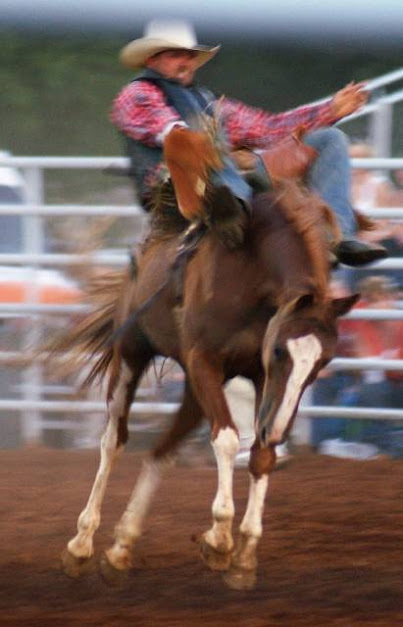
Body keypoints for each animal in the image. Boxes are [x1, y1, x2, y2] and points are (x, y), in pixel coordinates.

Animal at [61, 183, 358, 590]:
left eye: (323, 362)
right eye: (280, 350)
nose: (279, 430)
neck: (255, 273)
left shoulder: (257, 377)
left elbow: (262, 454)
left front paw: (245, 556)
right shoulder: (205, 360)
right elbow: (229, 439)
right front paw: (219, 539)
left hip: (193, 390)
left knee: (161, 451)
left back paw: (120, 550)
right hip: (133, 354)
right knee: (113, 441)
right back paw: (81, 544)